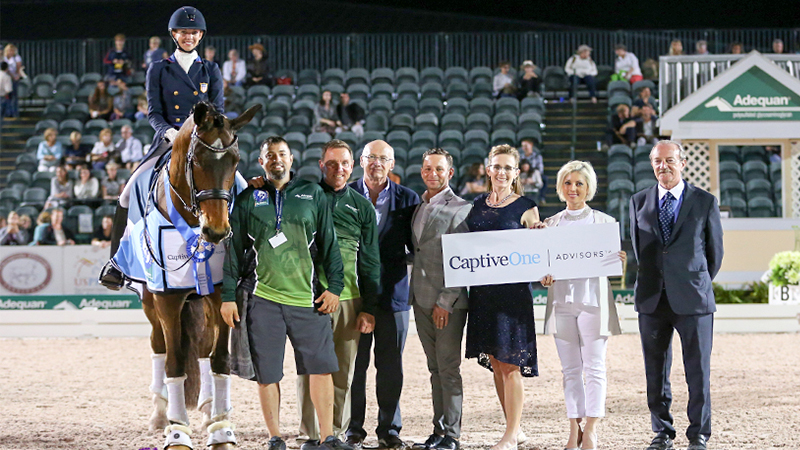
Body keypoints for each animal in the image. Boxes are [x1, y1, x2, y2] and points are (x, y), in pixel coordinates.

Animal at [122, 100, 260, 449]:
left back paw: (209, 408)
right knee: (159, 346)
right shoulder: (167, 299)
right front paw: (177, 431)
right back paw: (160, 414)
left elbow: (219, 359)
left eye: (235, 160)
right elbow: (173, 363)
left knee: (201, 350)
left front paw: (222, 430)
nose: (217, 231)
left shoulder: (220, 294)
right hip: (149, 301)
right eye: (196, 160)